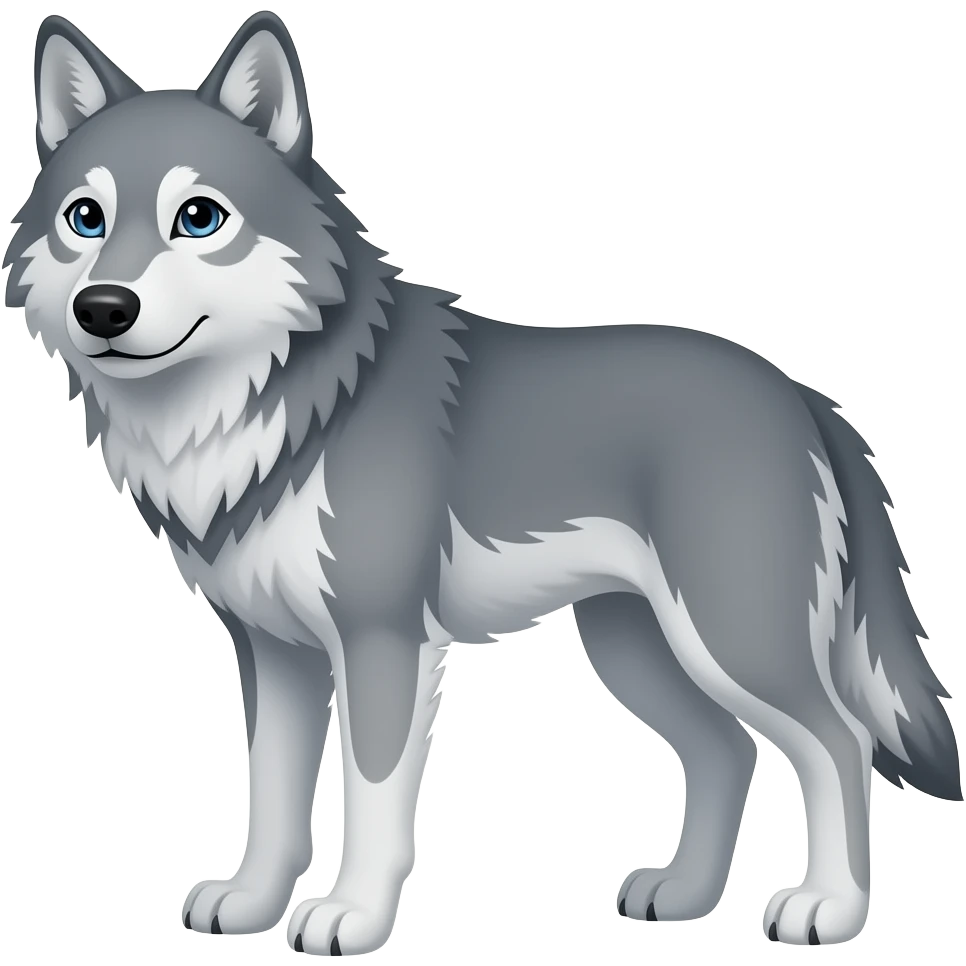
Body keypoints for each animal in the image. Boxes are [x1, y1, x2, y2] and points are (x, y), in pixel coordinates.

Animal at [4, 10, 961, 955]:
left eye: (199, 218)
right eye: (85, 218)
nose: (104, 309)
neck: (280, 406)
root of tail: (803, 396)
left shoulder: (381, 641)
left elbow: (370, 798)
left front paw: (349, 917)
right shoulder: (273, 652)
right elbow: (271, 799)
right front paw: (248, 905)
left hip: (729, 641)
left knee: (839, 743)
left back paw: (827, 909)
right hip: (634, 648)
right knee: (727, 751)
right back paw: (684, 895)